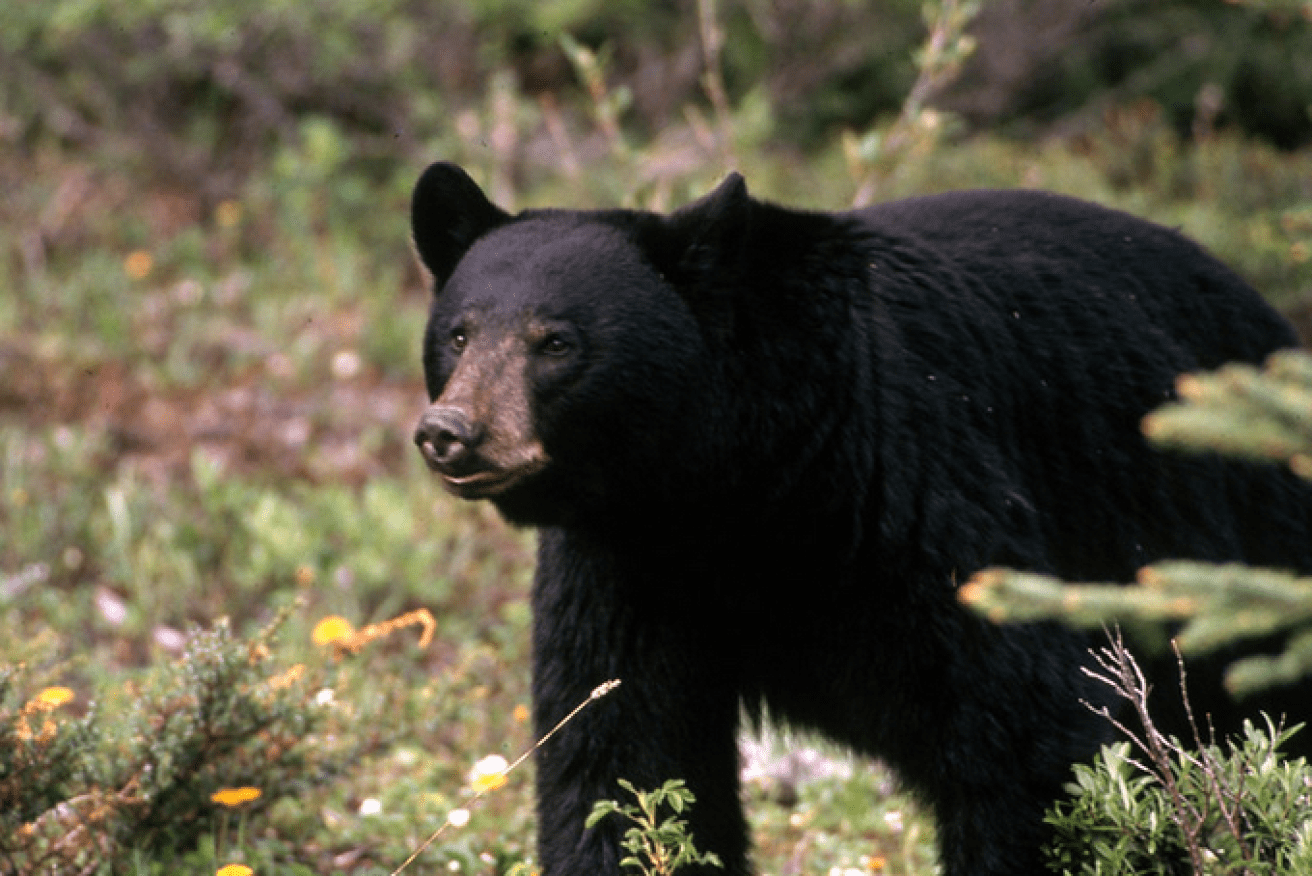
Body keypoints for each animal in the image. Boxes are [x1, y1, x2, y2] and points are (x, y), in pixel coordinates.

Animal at [409, 160, 1312, 870]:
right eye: (458, 334)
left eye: (556, 341)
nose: (450, 433)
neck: (734, 484)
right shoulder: (625, 565)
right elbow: (621, 756)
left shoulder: (915, 494)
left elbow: (1027, 736)